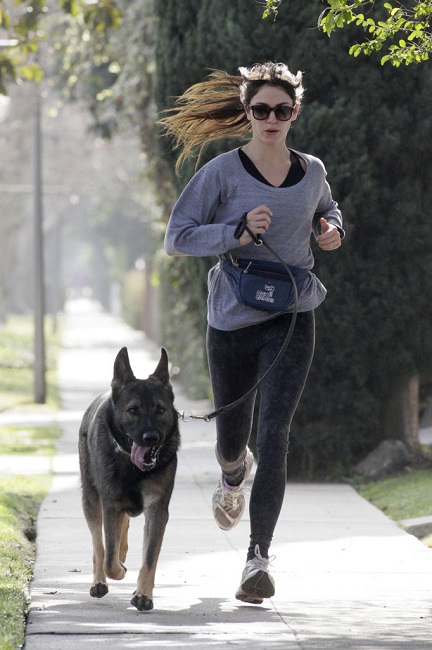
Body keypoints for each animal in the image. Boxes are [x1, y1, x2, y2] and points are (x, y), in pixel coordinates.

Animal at [78, 346, 180, 612]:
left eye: (160, 410)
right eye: (133, 410)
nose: (151, 438)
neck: (134, 468)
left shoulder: (157, 509)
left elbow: (149, 557)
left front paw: (143, 595)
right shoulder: (111, 504)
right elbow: (109, 560)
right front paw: (119, 570)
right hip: (91, 501)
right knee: (99, 545)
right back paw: (99, 581)